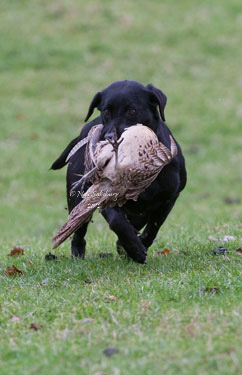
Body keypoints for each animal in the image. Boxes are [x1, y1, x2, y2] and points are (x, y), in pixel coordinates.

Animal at [51, 81, 187, 264]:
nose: (109, 137)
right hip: (76, 197)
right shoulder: (105, 195)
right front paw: (134, 249)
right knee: (78, 231)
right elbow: (117, 222)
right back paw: (78, 255)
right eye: (106, 111)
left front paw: (135, 247)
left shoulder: (169, 198)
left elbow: (153, 227)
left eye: (132, 111)